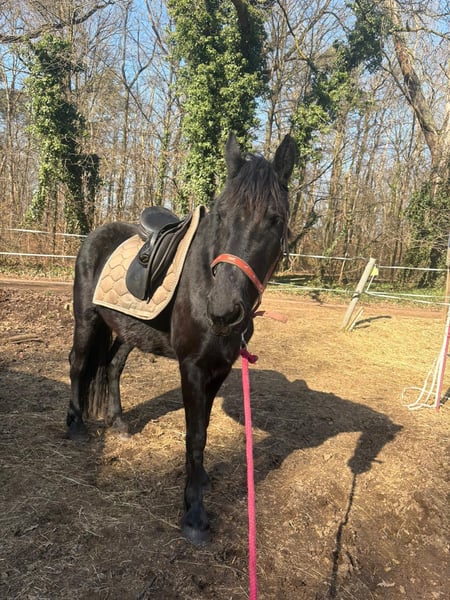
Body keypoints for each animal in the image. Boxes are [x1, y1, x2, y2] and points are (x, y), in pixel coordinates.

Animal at [66, 132, 297, 544]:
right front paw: (193, 513)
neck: (204, 282)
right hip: (87, 320)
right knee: (78, 365)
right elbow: (195, 435)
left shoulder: (219, 368)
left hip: (128, 330)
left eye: (276, 219)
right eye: (220, 216)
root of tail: (95, 236)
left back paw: (119, 423)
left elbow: (203, 425)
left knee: (111, 367)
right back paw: (76, 425)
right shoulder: (192, 367)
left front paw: (200, 480)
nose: (223, 312)